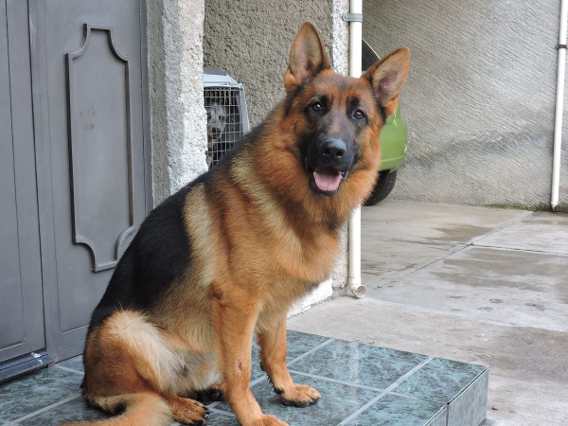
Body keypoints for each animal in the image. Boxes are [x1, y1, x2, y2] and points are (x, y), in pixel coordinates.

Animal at [71, 22, 410, 426]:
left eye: (359, 115)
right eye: (316, 107)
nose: (333, 150)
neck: (289, 200)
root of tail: (88, 384)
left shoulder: (275, 305)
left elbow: (276, 351)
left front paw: (286, 390)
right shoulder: (239, 305)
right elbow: (241, 368)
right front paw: (252, 416)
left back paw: (204, 390)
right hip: (125, 327)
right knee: (149, 393)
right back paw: (182, 405)